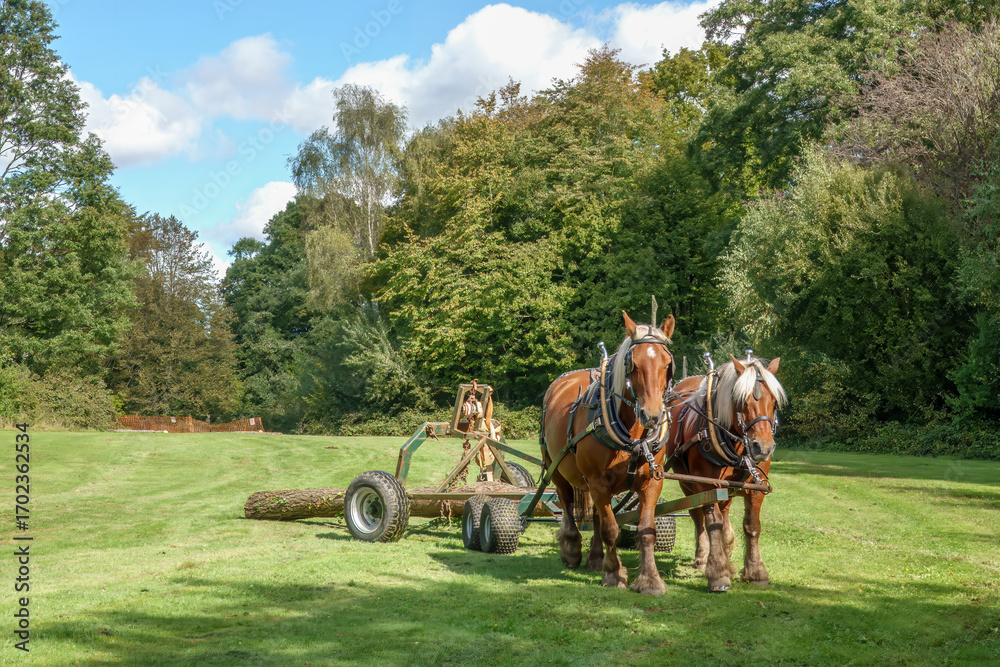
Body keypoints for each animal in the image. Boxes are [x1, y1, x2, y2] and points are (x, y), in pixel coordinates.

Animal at [540, 311, 675, 594]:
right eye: (633, 364)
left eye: (667, 363)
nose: (652, 416)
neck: (633, 436)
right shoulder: (598, 481)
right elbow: (611, 529)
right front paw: (614, 574)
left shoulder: (651, 482)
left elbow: (646, 529)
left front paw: (650, 579)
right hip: (556, 467)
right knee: (567, 503)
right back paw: (572, 548)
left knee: (595, 515)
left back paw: (595, 558)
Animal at [664, 353, 786, 592]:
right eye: (741, 401)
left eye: (774, 403)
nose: (763, 447)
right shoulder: (706, 484)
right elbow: (713, 523)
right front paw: (718, 573)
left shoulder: (755, 486)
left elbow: (751, 525)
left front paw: (755, 571)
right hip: (687, 482)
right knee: (697, 515)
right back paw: (703, 557)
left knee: (724, 510)